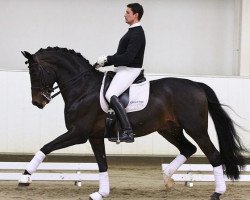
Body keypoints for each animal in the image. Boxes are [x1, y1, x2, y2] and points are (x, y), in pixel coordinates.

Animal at [20, 47, 246, 200]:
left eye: (35, 71)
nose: (37, 102)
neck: (83, 88)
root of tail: (196, 85)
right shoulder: (94, 136)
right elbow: (102, 163)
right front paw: (101, 193)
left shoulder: (79, 133)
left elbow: (46, 147)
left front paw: (25, 177)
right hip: (169, 129)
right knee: (188, 148)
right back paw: (167, 178)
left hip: (195, 128)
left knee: (213, 155)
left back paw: (217, 192)